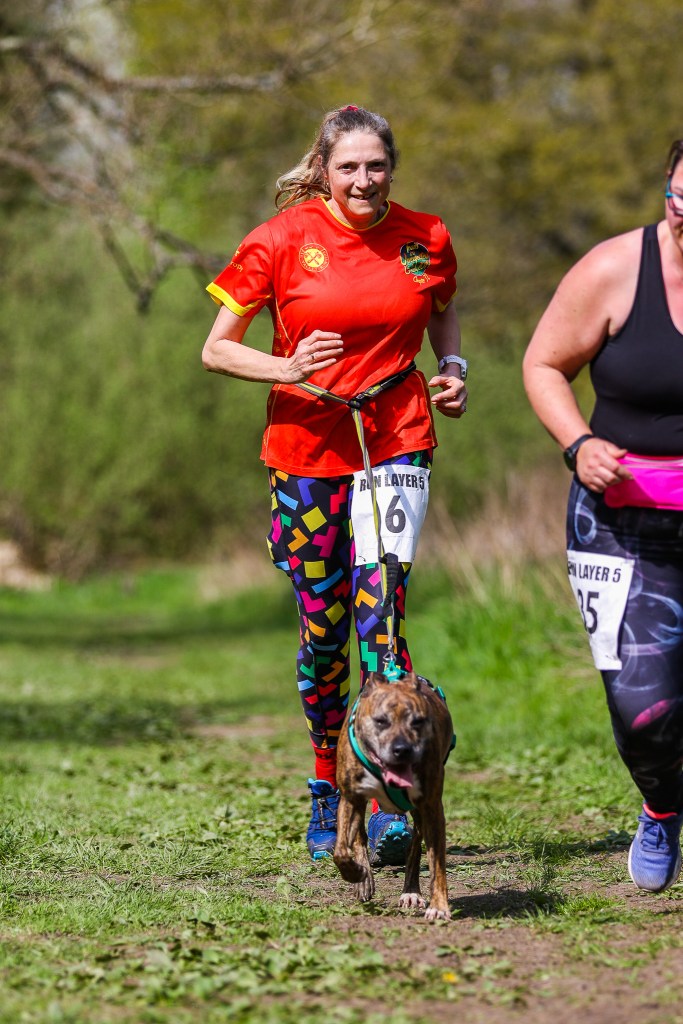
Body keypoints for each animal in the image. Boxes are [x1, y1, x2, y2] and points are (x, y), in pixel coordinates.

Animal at [333, 670, 454, 921]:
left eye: (418, 721)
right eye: (381, 721)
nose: (402, 749)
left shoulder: (431, 807)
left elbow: (437, 864)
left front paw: (439, 906)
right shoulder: (351, 798)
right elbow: (341, 850)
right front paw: (356, 874)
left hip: (419, 813)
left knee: (414, 846)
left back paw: (411, 891)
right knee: (359, 837)